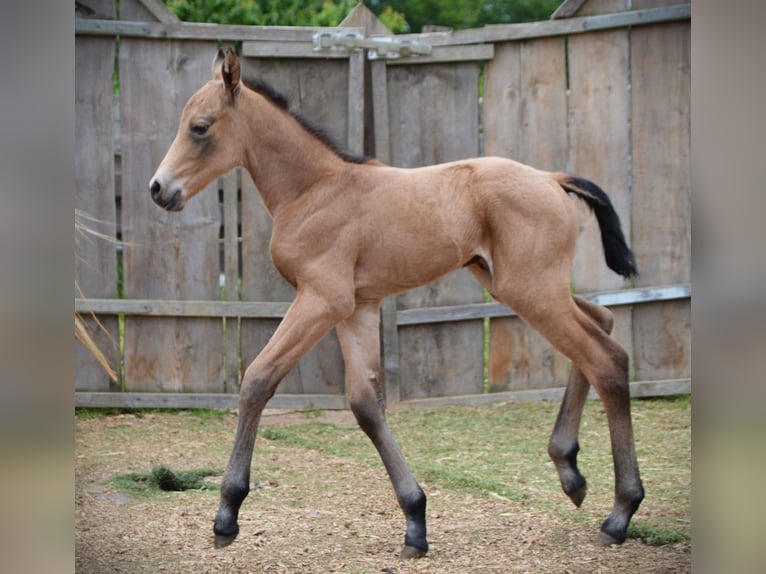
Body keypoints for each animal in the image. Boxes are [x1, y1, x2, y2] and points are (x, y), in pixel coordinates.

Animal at [149, 48, 643, 558]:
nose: (159, 189)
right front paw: (415, 520)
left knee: (606, 360)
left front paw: (227, 514)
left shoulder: (321, 299)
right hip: (519, 285)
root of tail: (552, 177)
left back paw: (619, 513)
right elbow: (366, 405)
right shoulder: (356, 308)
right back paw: (570, 472)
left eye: (200, 127)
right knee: (603, 320)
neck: (313, 190)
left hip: (532, 290)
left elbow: (257, 380)